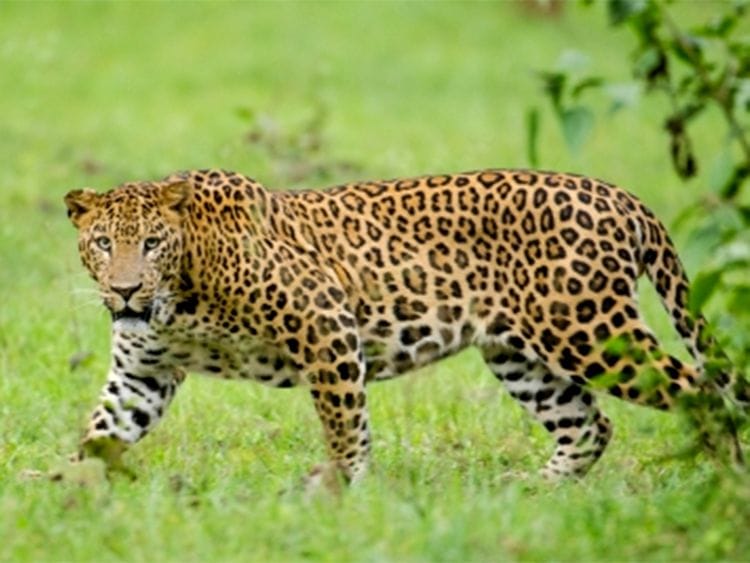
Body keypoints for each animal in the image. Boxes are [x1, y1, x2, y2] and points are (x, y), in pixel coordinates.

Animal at [64, 168, 748, 483]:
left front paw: (339, 492)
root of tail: (621, 196)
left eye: (152, 243)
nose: (125, 289)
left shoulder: (326, 322)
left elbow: (345, 425)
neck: (179, 297)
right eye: (103, 243)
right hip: (520, 355)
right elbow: (100, 433)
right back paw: (535, 490)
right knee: (589, 425)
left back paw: (721, 484)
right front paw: (63, 496)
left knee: (702, 392)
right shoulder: (142, 374)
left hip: (588, 332)